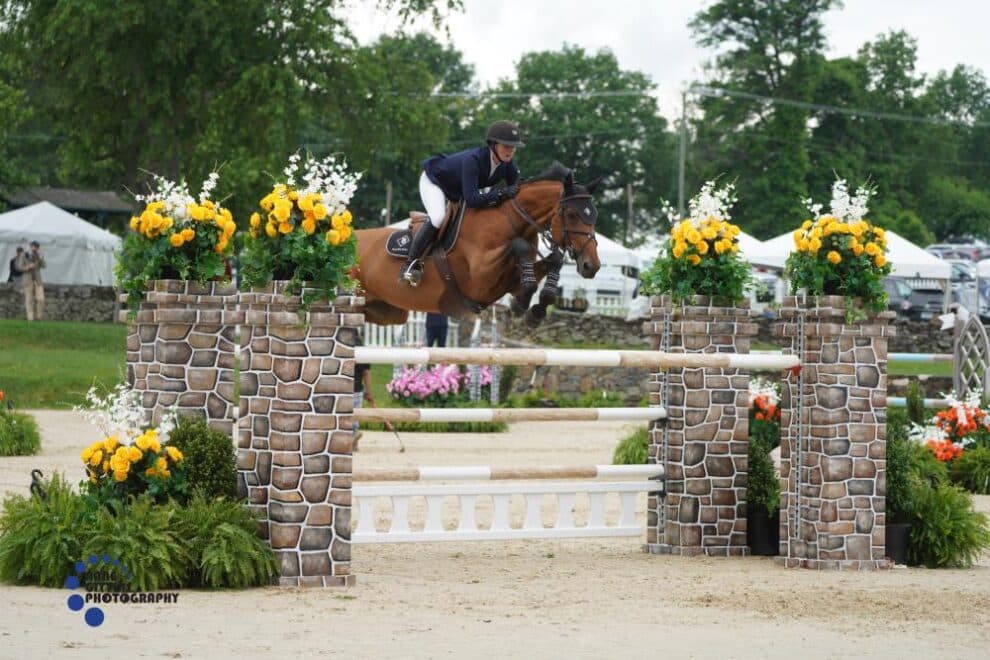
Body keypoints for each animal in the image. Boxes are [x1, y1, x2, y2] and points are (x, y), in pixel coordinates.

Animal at [356, 164, 604, 328]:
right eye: (571, 215)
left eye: (594, 215)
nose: (591, 266)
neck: (512, 221)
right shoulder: (479, 281)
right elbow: (519, 245)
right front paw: (524, 303)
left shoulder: (510, 282)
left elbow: (553, 261)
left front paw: (534, 309)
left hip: (387, 312)